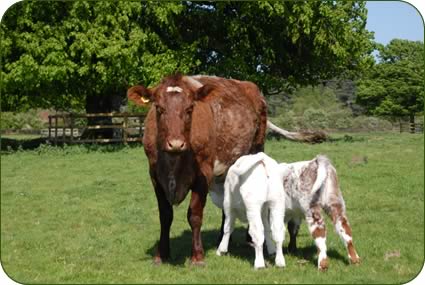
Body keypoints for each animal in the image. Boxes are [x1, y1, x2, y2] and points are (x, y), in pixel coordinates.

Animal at [126, 73, 264, 264]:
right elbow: (165, 215)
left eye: (190, 108)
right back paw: (222, 239)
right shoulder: (155, 176)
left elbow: (195, 215)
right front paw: (162, 254)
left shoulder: (203, 174)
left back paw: (250, 238)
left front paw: (197, 256)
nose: (176, 143)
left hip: (256, 150)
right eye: (159, 108)